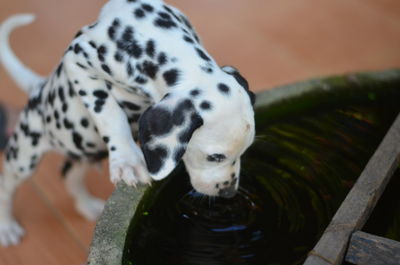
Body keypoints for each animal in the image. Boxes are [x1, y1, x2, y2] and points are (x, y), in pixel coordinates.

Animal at [0, 0, 255, 244]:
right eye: (215, 157)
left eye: (245, 151)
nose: (228, 193)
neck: (149, 34)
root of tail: (37, 87)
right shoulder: (77, 59)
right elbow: (108, 110)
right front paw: (127, 160)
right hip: (24, 157)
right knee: (7, 186)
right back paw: (6, 227)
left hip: (82, 154)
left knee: (69, 175)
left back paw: (86, 205)